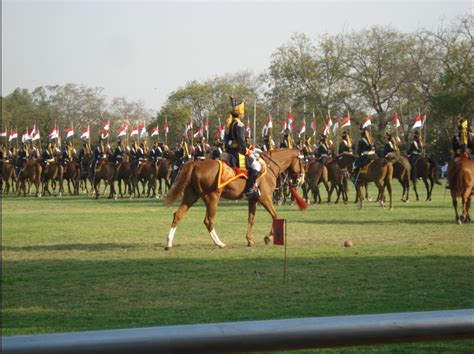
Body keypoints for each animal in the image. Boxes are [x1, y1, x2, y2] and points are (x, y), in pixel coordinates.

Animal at [165, 149, 306, 249]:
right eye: (302, 163)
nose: (301, 180)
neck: (270, 166)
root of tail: (197, 164)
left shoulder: (253, 200)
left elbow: (251, 219)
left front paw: (249, 240)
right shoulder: (265, 198)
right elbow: (275, 216)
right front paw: (268, 238)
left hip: (191, 197)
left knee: (178, 215)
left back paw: (168, 243)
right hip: (212, 199)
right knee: (208, 221)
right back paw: (219, 243)